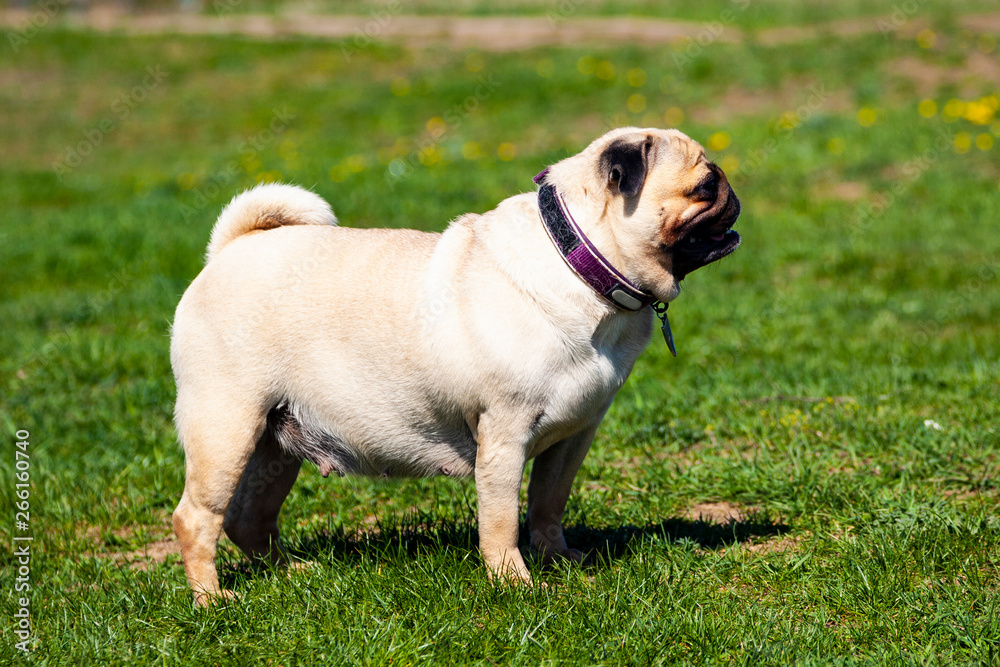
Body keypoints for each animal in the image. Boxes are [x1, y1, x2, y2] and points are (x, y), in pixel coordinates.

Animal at [170, 125, 736, 604]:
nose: (733, 196)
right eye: (705, 185)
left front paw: (558, 558)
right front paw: (514, 583)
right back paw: (212, 599)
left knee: (248, 519)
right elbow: (502, 521)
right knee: (197, 517)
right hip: (227, 425)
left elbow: (548, 504)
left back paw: (291, 572)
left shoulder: (576, 433)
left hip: (276, 442)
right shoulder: (504, 435)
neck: (579, 264)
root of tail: (230, 249)